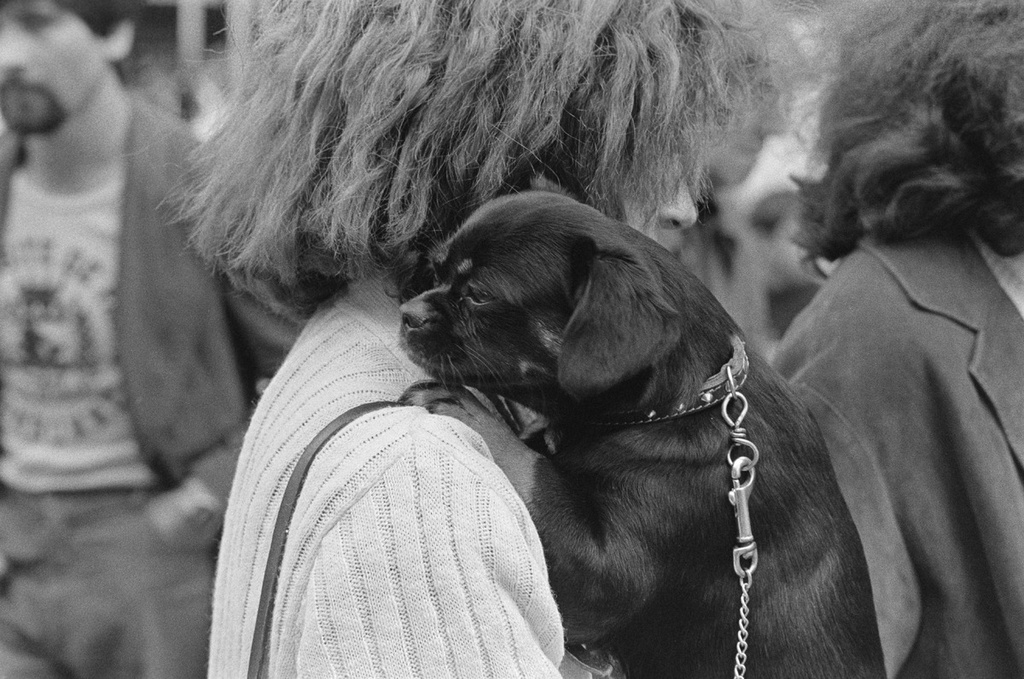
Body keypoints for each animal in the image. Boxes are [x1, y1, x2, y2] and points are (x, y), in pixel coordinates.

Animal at [397, 191, 880, 679]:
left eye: (480, 295)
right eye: (436, 273)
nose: (408, 314)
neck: (679, 406)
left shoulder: (604, 577)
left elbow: (531, 471)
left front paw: (470, 410)